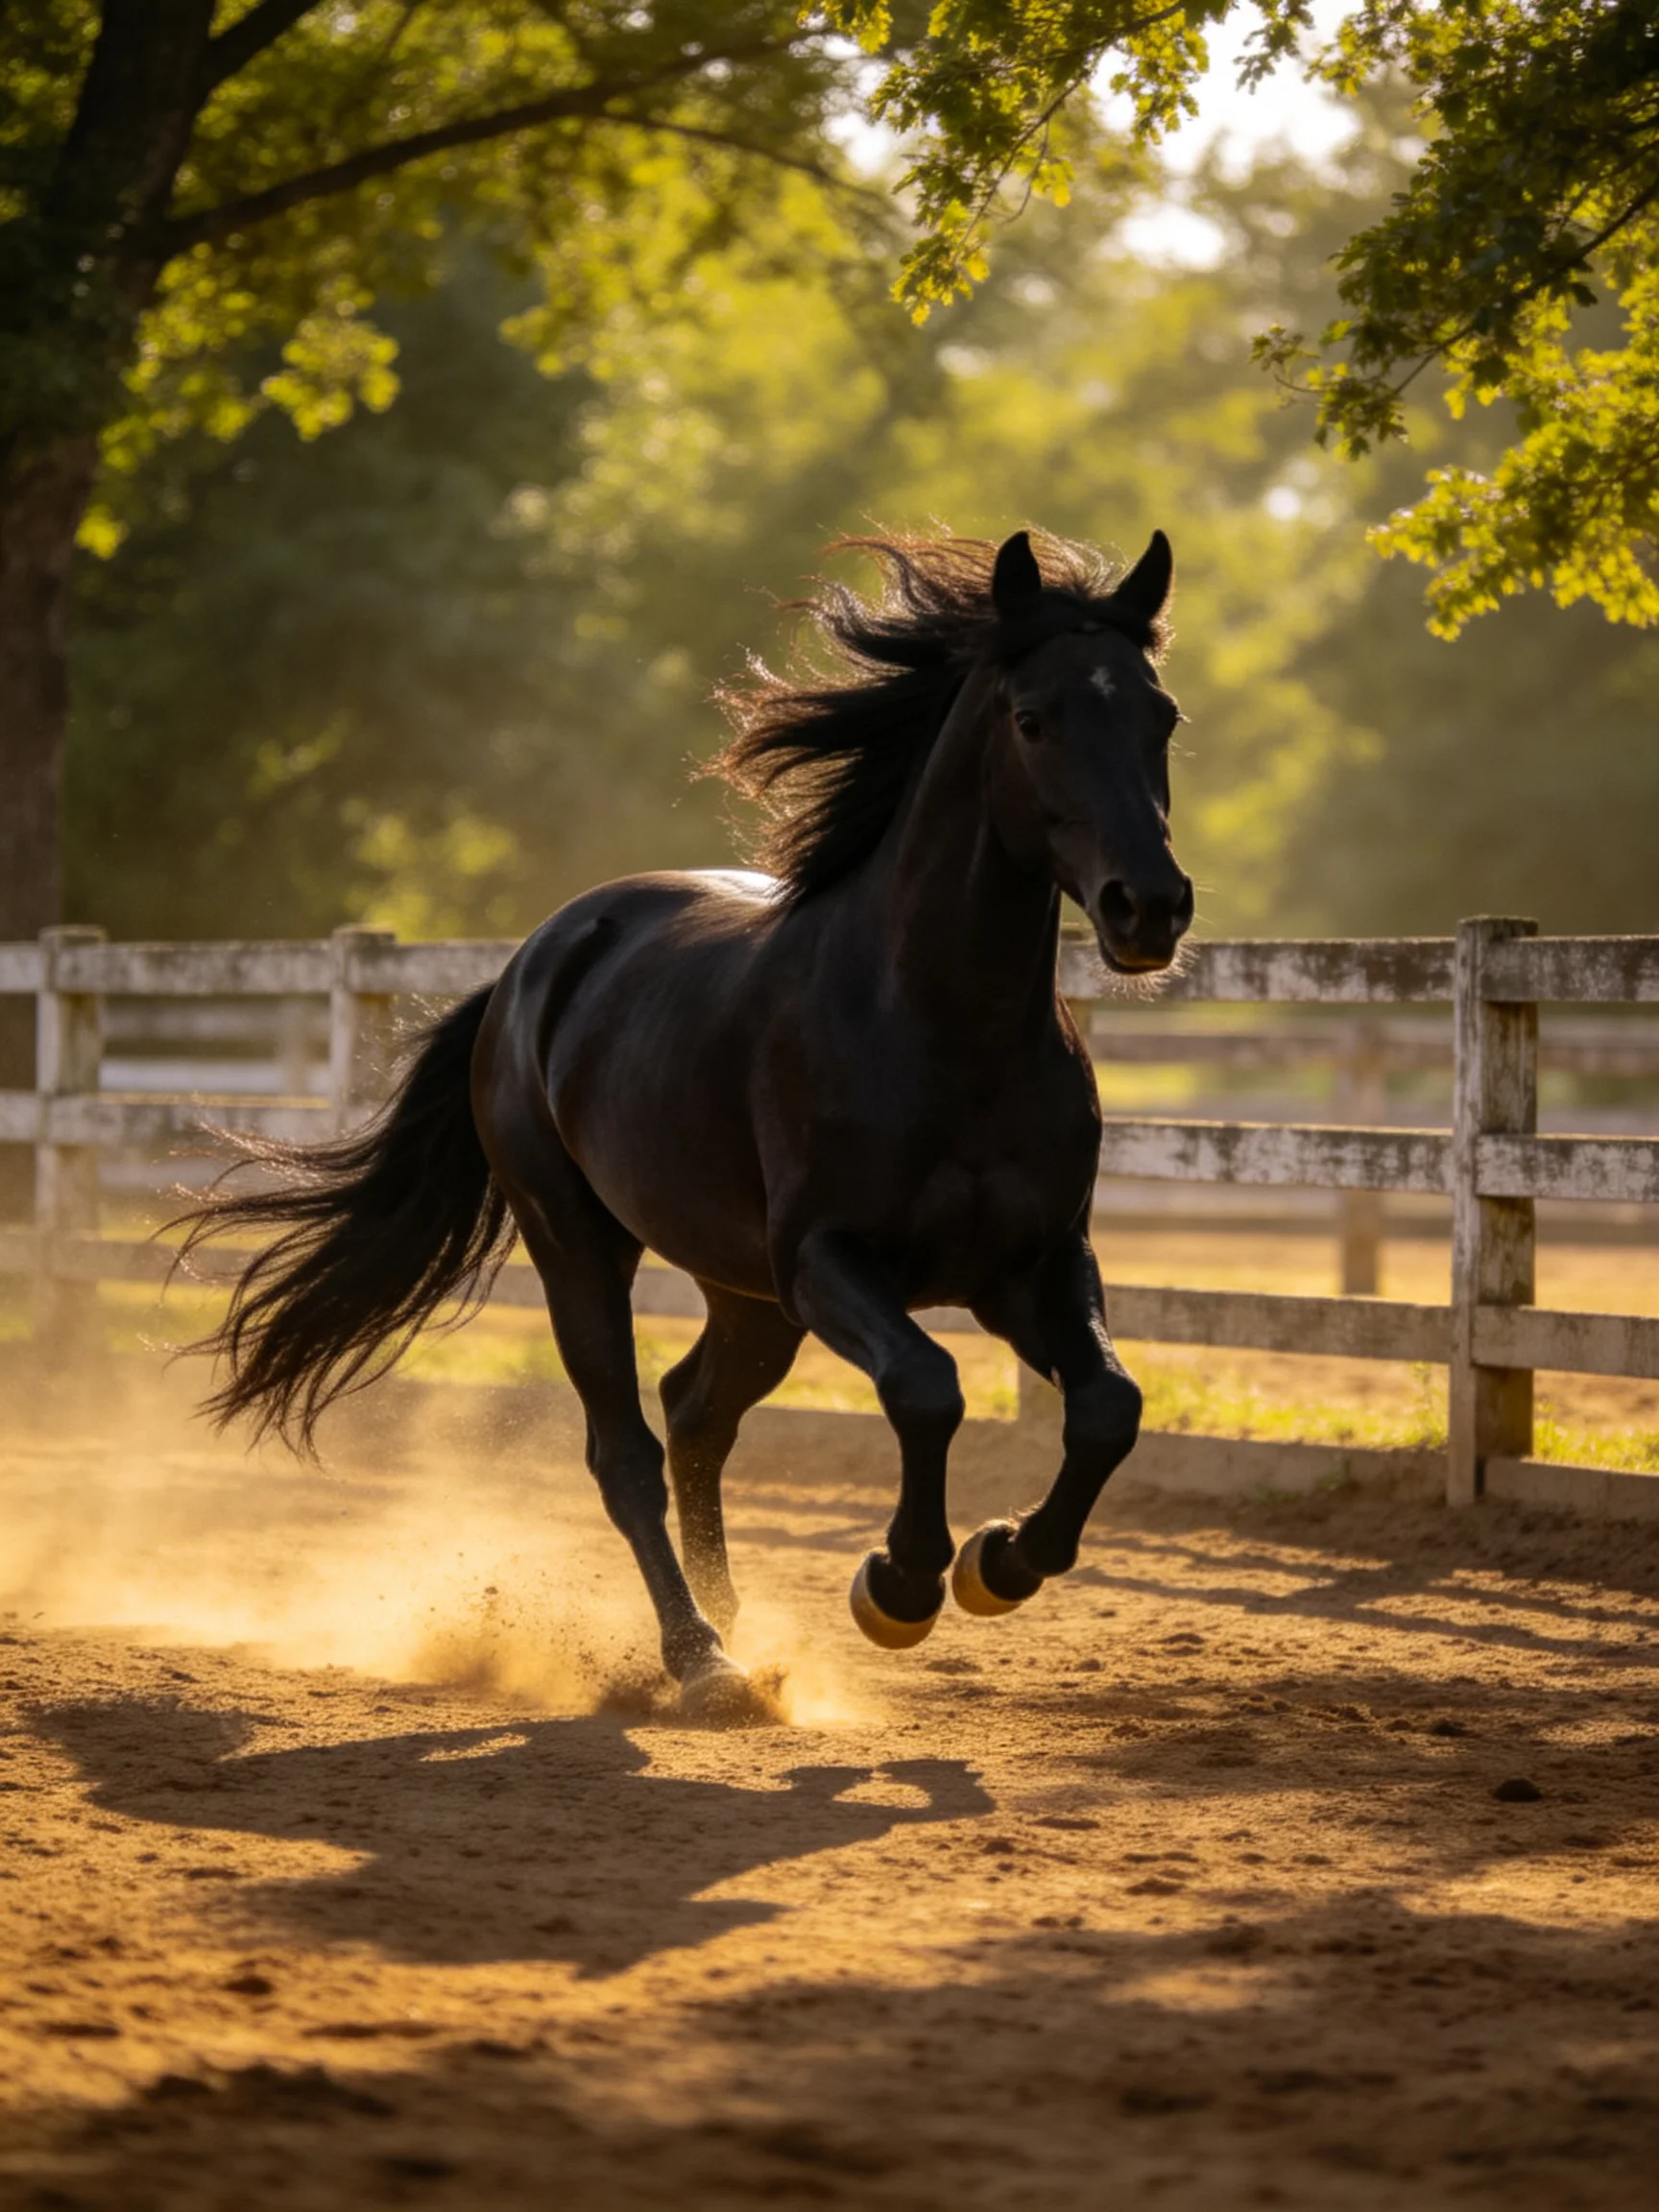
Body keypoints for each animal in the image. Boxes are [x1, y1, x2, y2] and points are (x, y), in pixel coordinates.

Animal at [178, 527, 1193, 1721]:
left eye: (1162, 715)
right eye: (1034, 718)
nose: (1150, 908)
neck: (942, 1032)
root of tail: (529, 966)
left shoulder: (1031, 1267)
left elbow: (1109, 1406)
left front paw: (999, 1562)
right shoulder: (827, 1263)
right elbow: (926, 1389)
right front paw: (898, 1586)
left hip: (745, 1294)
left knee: (697, 1415)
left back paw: (735, 1622)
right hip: (585, 1253)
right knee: (627, 1451)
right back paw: (702, 1656)